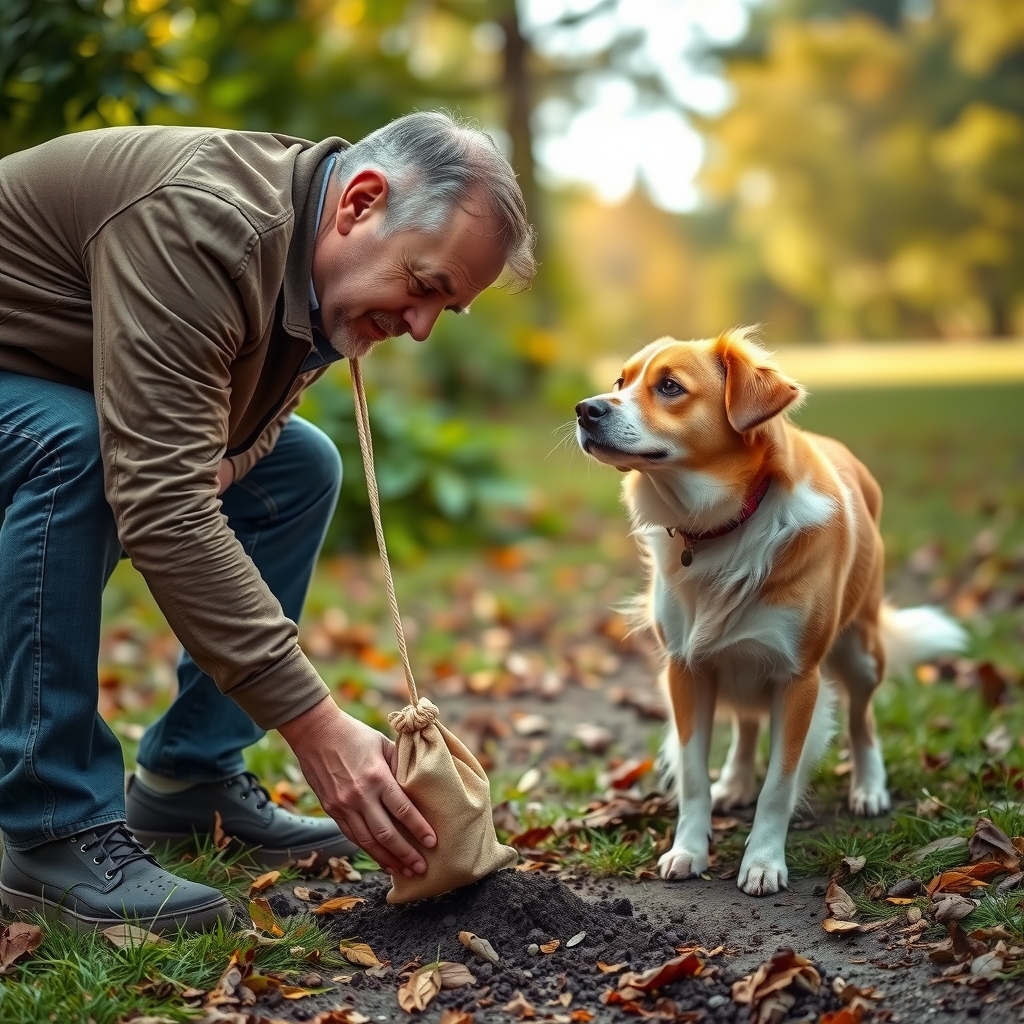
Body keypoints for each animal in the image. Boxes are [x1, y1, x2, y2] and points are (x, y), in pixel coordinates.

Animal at [577, 329, 966, 897]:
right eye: (619, 382)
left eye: (669, 387)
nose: (585, 409)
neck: (722, 527)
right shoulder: (686, 669)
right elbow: (693, 776)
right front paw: (689, 849)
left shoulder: (797, 678)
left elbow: (779, 787)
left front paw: (762, 861)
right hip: (731, 660)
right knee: (746, 723)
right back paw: (735, 780)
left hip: (859, 653)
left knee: (862, 719)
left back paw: (869, 786)